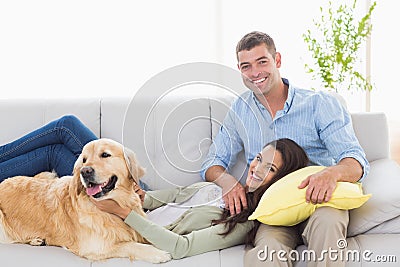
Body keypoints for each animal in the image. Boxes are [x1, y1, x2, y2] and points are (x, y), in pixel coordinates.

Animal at [0, 139, 170, 264]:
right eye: (84, 160)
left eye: (105, 155)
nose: (85, 171)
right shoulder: (97, 247)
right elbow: (130, 245)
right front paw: (158, 253)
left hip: (47, 175)